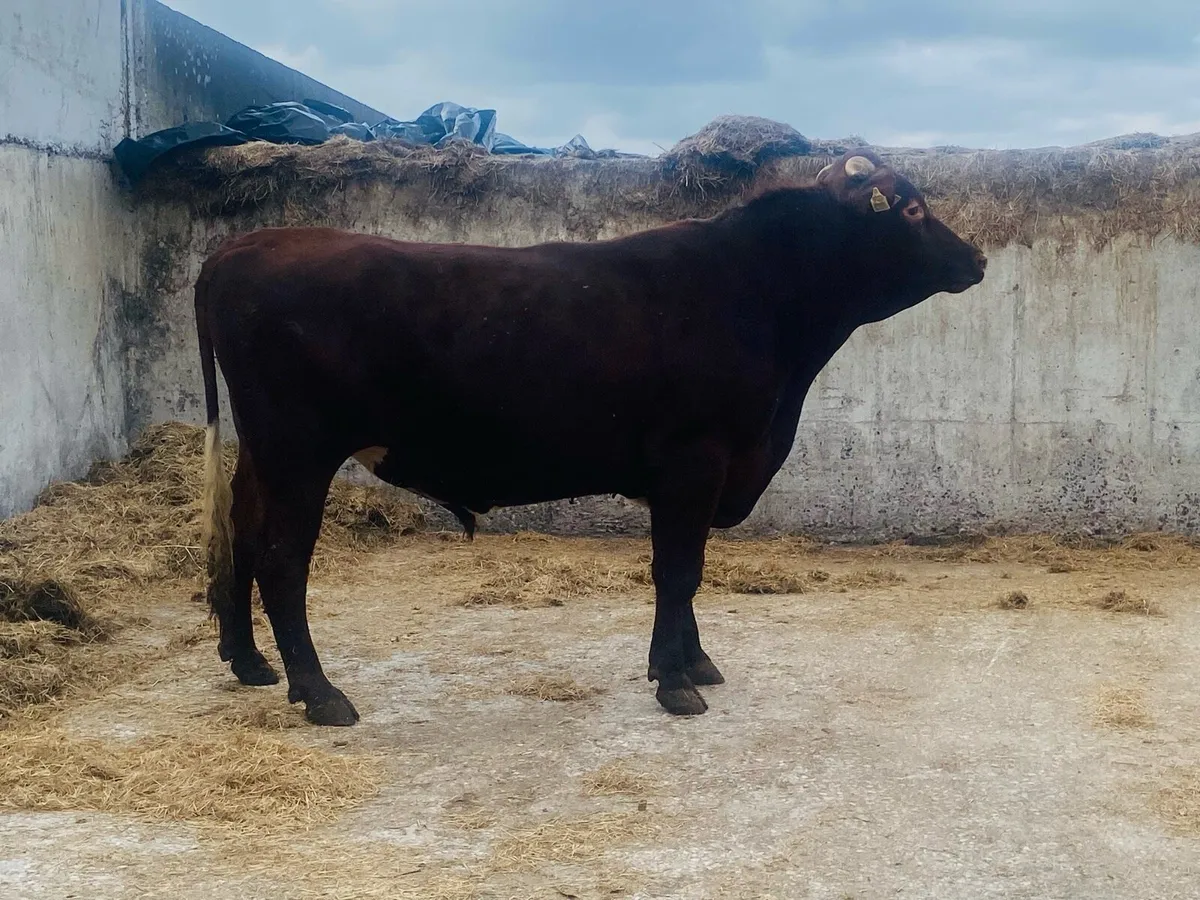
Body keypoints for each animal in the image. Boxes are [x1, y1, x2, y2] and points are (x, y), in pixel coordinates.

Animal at [195, 150, 987, 726]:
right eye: (913, 208)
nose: (977, 258)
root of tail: (249, 242)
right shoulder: (696, 459)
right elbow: (678, 571)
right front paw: (674, 682)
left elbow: (687, 571)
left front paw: (694, 663)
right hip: (297, 452)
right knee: (282, 561)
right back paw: (320, 693)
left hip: (261, 452)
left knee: (241, 536)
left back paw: (251, 663)